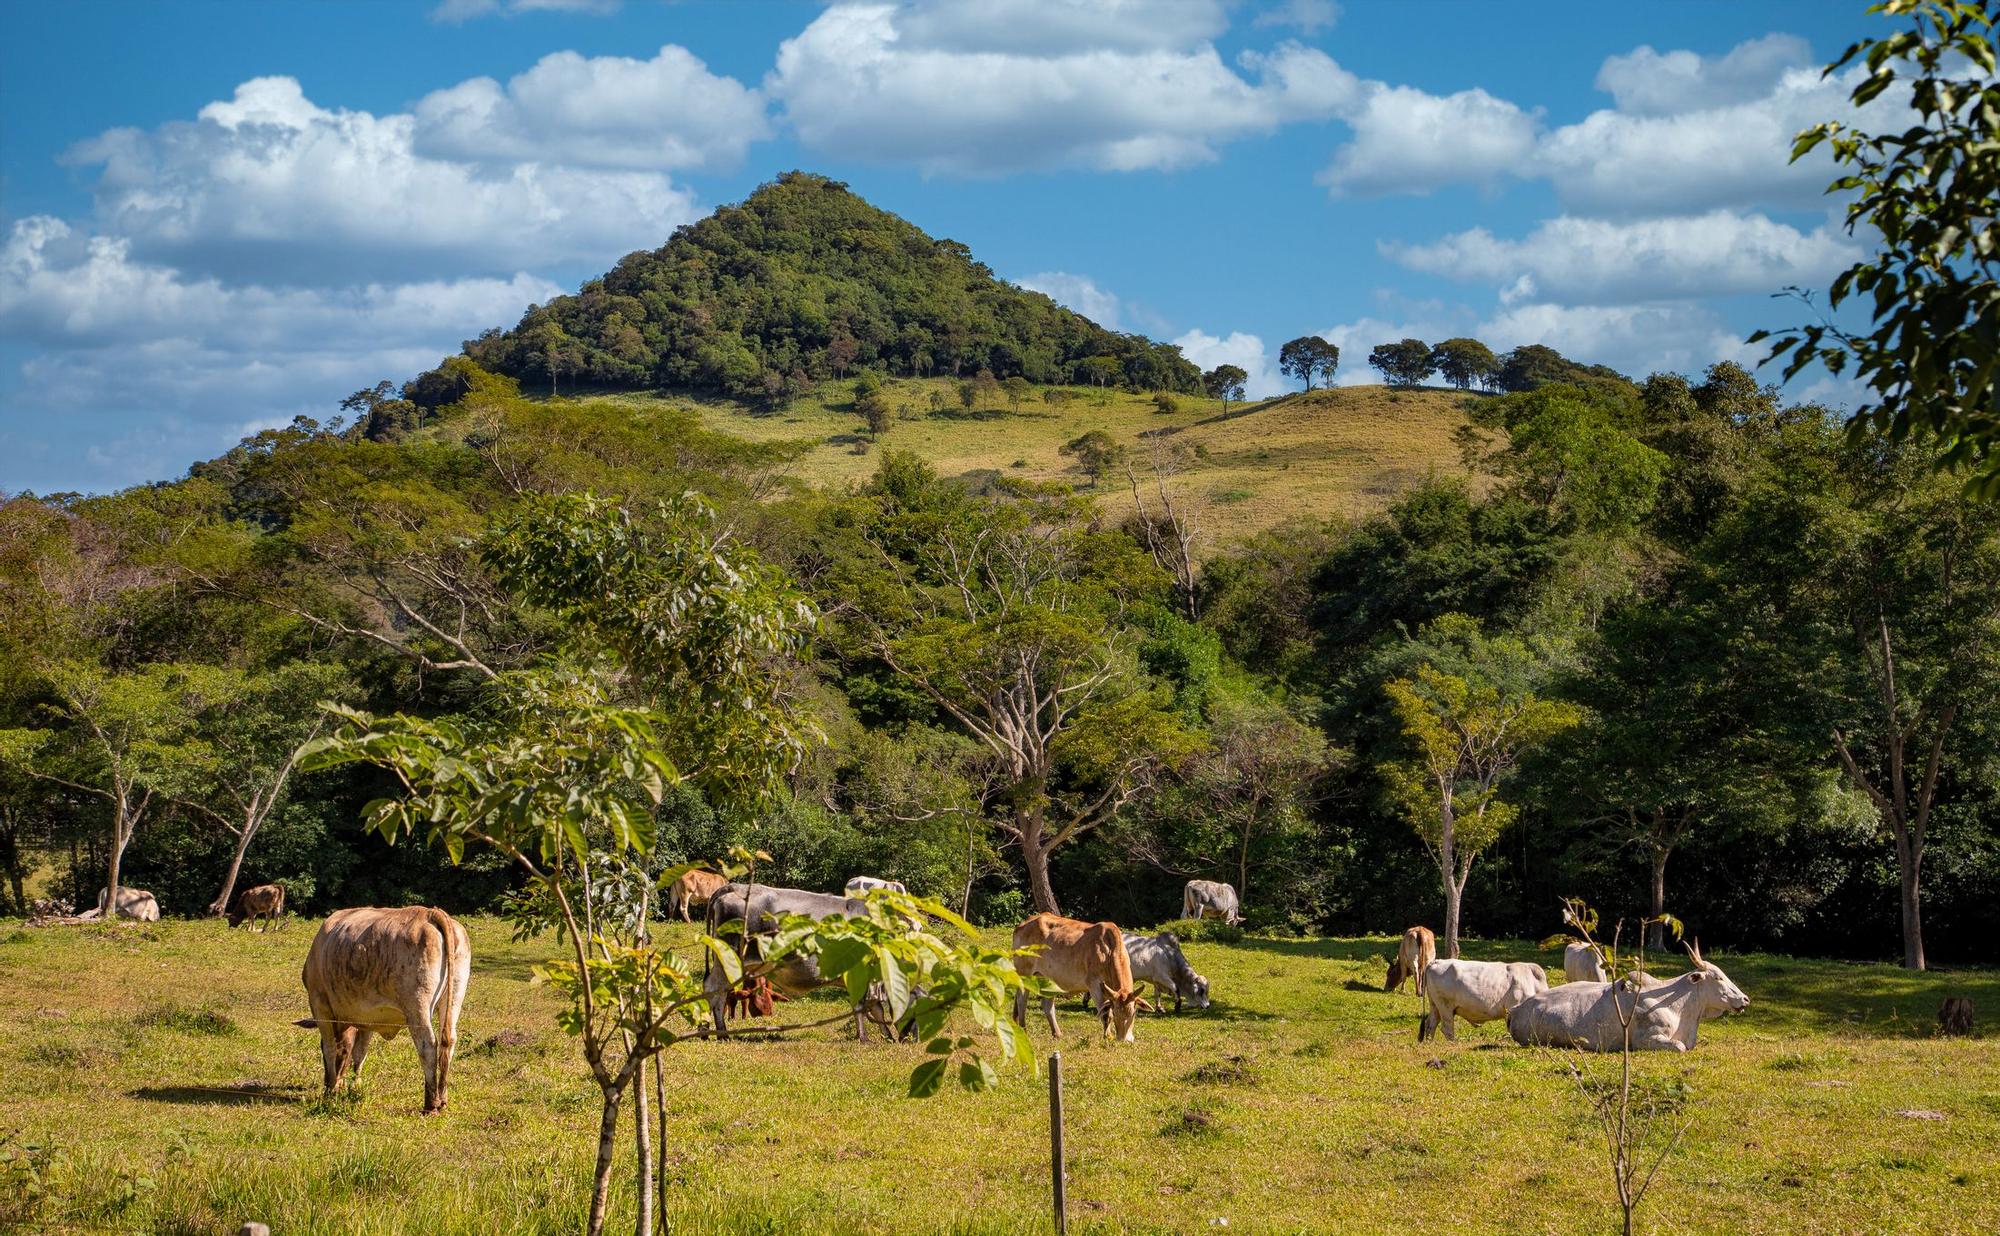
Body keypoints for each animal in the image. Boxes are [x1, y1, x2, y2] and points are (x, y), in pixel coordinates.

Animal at [292, 900, 468, 1112]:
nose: (330, 1084)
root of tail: (430, 913)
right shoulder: (366, 1018)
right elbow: (359, 1053)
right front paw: (354, 1087)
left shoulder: (320, 1005)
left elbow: (330, 1048)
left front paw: (331, 1090)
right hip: (454, 995)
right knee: (448, 1040)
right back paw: (442, 1098)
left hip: (417, 1006)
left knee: (428, 1045)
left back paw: (431, 1103)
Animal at [1008, 908, 1152, 1032]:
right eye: (1117, 1013)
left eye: (1133, 1013)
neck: (1109, 950)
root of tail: (1023, 924)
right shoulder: (1094, 985)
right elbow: (1106, 1014)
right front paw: (1108, 1037)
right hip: (1024, 974)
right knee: (1021, 1000)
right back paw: (1024, 1029)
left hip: (1046, 978)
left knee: (1047, 1005)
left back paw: (1057, 1033)